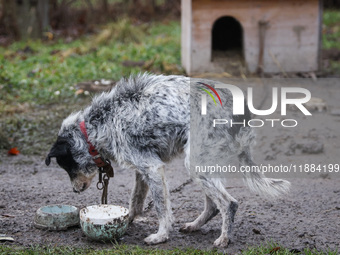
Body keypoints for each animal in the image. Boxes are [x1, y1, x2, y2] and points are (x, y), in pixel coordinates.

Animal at [45, 73, 290, 247]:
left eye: (67, 167)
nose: (75, 190)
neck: (96, 125)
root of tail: (243, 111)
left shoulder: (152, 168)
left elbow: (162, 208)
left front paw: (161, 236)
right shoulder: (142, 170)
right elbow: (135, 201)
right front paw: (127, 219)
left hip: (195, 164)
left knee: (229, 203)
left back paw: (224, 239)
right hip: (205, 164)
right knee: (214, 205)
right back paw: (195, 225)